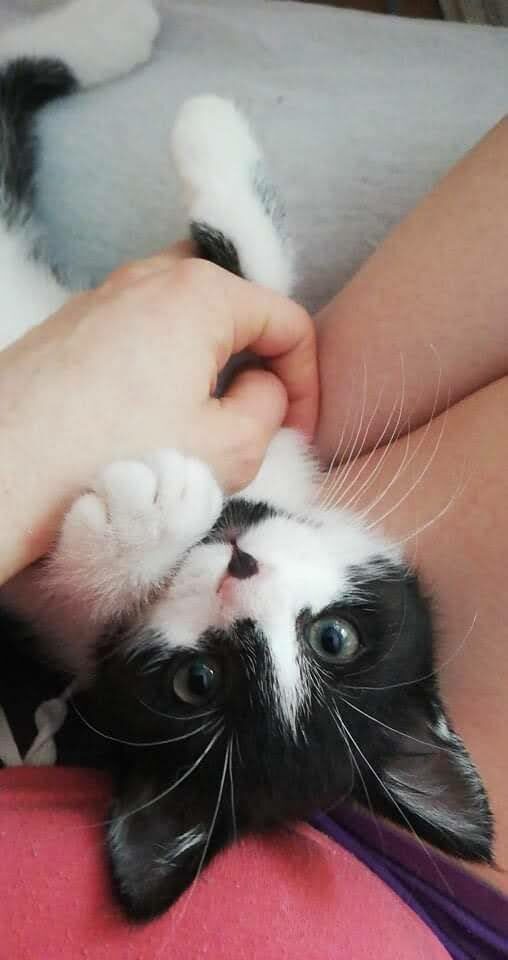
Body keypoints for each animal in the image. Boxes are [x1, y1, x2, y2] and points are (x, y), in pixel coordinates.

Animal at [0, 0, 493, 922]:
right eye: (338, 640)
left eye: (197, 682)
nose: (239, 568)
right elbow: (249, 286)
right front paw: (214, 139)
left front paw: (139, 519)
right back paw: (111, 30)